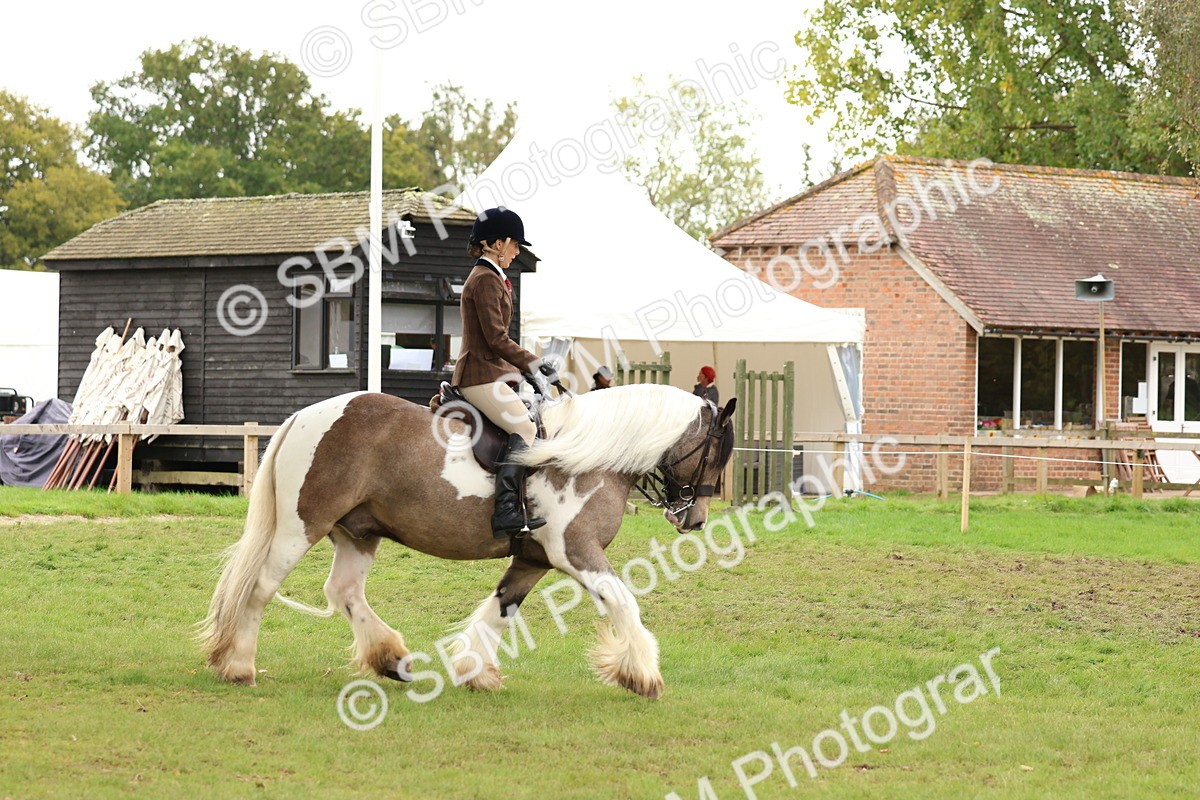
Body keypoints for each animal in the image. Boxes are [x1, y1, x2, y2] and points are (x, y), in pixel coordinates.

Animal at [199, 383, 736, 699]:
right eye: (716, 453)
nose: (695, 520)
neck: (588, 456)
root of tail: (303, 417)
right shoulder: (577, 552)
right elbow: (624, 603)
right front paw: (643, 675)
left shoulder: (534, 559)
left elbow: (501, 608)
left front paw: (475, 672)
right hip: (301, 527)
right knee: (259, 589)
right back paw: (239, 666)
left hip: (358, 532)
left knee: (345, 591)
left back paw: (393, 661)